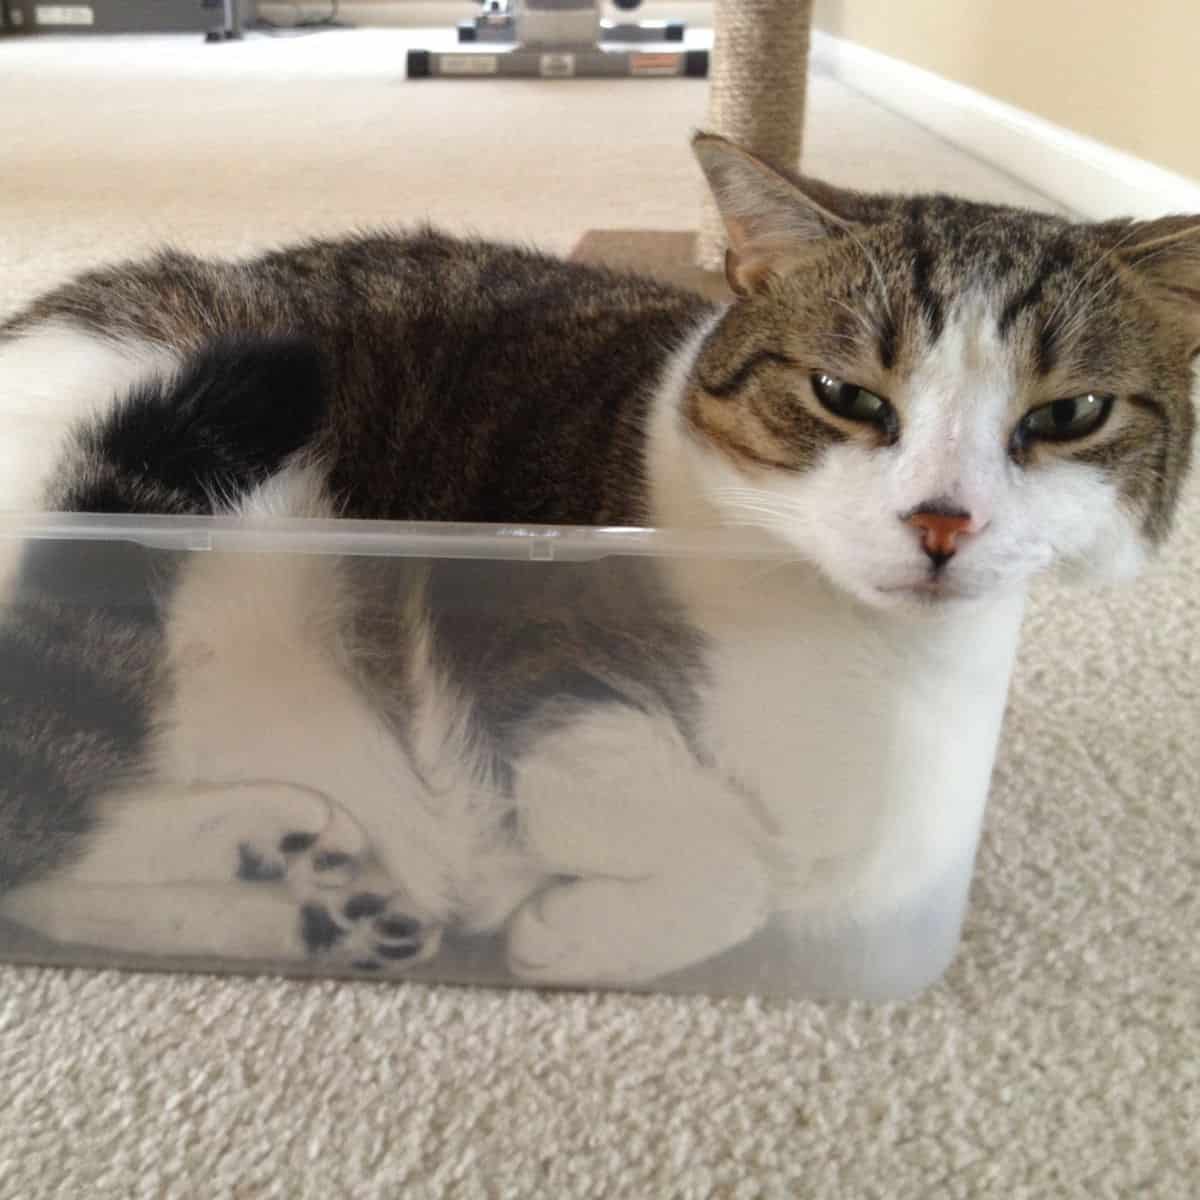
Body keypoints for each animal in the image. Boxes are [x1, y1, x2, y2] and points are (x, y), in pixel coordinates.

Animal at [0, 136, 1190, 988]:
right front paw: (568, 930)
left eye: (1070, 414)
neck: (868, 659)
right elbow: (730, 861)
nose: (944, 524)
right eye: (846, 395)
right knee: (38, 821)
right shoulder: (540, 673)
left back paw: (309, 887)